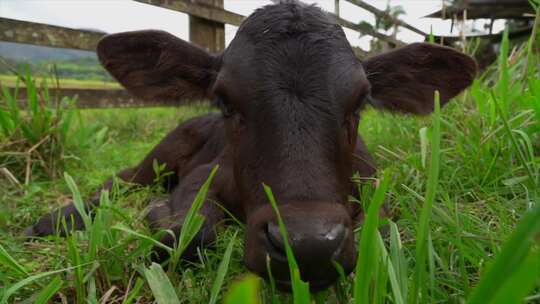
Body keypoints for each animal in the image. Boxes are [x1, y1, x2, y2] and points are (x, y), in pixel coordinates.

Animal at [26, 0, 476, 290]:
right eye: (226, 100)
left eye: (360, 101)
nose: (306, 244)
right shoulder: (204, 174)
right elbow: (187, 232)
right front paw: (160, 216)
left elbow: (380, 232)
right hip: (162, 154)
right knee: (122, 179)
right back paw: (59, 218)